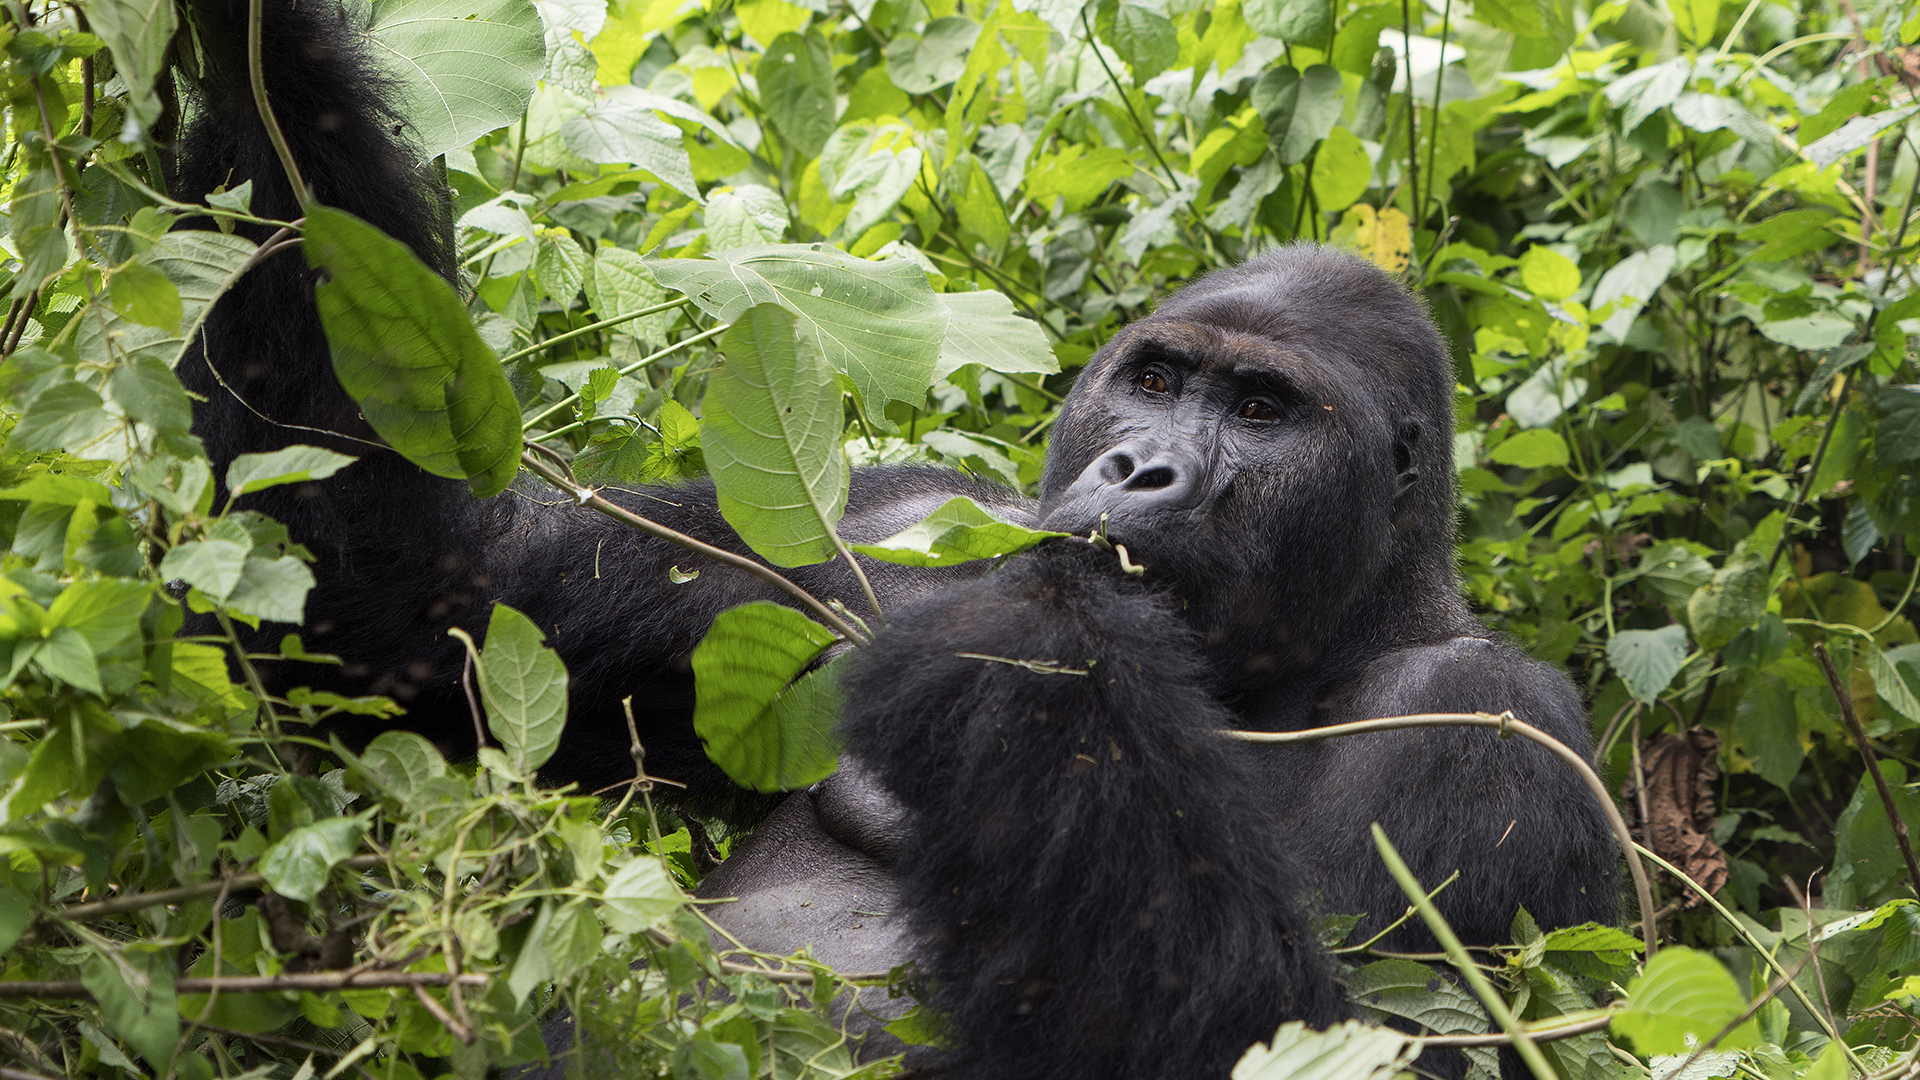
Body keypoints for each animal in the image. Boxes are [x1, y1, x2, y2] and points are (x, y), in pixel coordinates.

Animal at [176, 2, 1620, 1076]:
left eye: (1262, 412)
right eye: (1157, 382)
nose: (1139, 469)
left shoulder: (1497, 724)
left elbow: (1311, 1030)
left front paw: (1031, 649)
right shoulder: (860, 540)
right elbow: (408, 625)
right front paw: (268, 49)